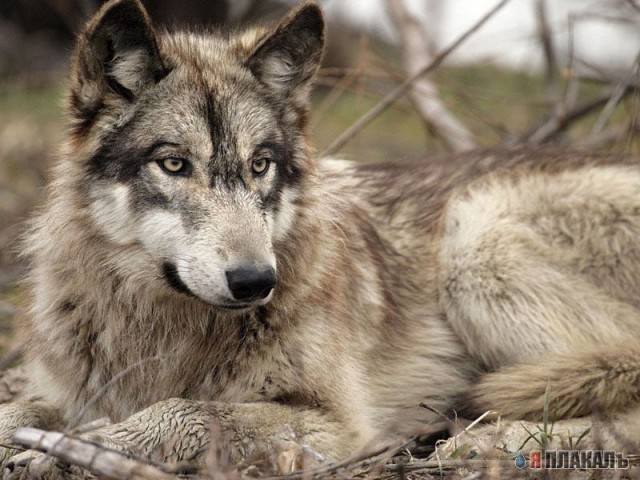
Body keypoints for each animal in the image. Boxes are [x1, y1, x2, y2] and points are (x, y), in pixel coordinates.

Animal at [1, 0, 640, 476]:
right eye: (175, 164)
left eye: (260, 165)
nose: (256, 281)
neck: (158, 328)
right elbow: (17, 407)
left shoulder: (336, 424)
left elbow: (187, 410)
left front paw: (82, 446)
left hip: (476, 241)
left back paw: (482, 443)